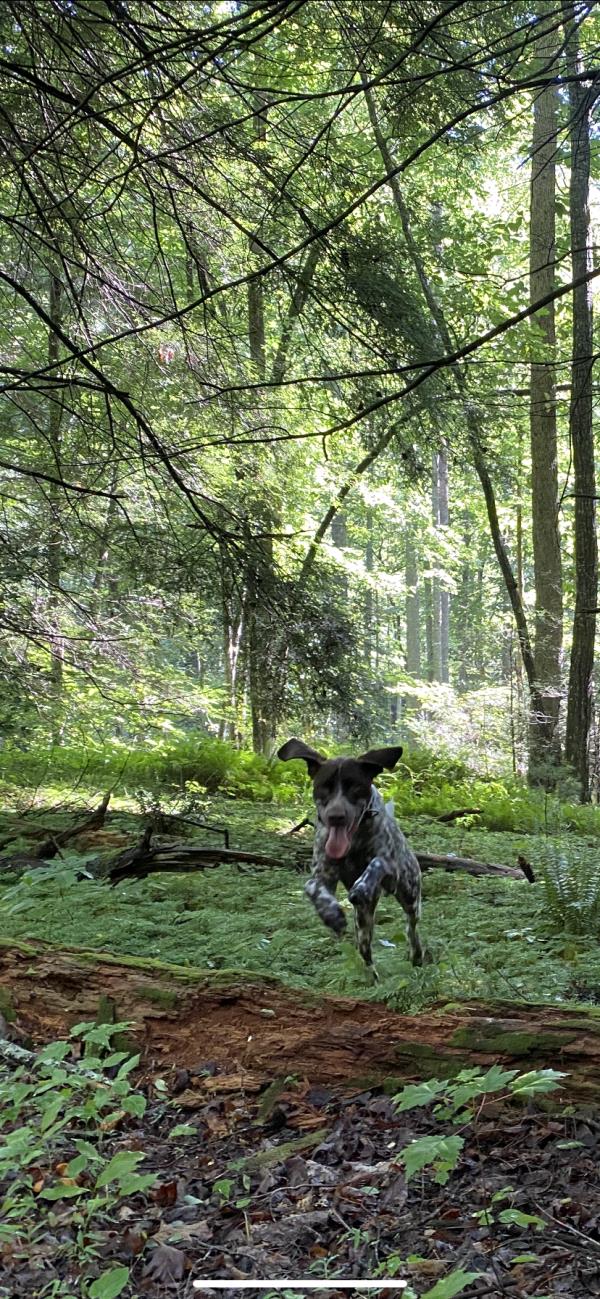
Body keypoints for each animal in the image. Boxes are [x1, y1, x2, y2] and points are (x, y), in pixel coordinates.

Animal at [276, 743, 420, 976]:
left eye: (355, 786)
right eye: (324, 786)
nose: (336, 816)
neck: (353, 842)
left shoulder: (391, 866)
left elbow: (377, 862)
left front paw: (362, 886)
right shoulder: (323, 874)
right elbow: (311, 886)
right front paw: (331, 914)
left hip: (410, 894)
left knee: (412, 927)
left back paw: (417, 954)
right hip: (363, 924)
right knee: (366, 955)